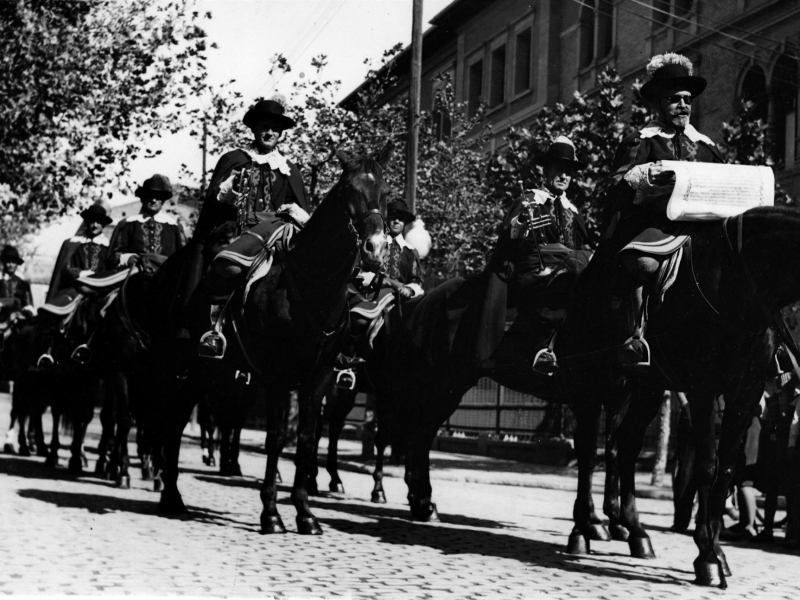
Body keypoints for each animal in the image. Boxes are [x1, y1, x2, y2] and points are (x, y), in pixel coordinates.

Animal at [152, 144, 390, 536]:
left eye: (384, 191)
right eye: (348, 190)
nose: (375, 249)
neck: (312, 285)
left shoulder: (319, 378)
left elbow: (306, 440)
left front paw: (306, 512)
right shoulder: (279, 374)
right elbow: (276, 437)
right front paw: (271, 513)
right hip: (186, 367)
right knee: (174, 420)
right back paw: (169, 494)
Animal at [376, 205, 800, 584]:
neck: (729, 285)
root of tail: (422, 302)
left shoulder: (734, 394)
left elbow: (716, 469)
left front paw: (707, 551)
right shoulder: (684, 390)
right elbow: (678, 464)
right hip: (444, 383)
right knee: (420, 433)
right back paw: (422, 501)